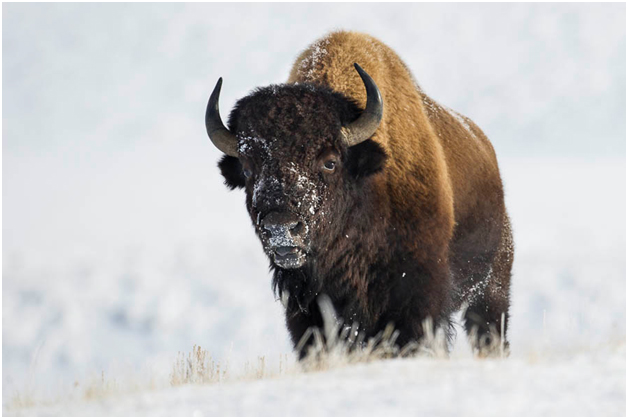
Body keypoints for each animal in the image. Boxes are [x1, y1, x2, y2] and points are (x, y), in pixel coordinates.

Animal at [207, 30, 516, 358]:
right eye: (247, 168)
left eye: (330, 162)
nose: (281, 228)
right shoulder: (307, 308)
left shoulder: (416, 299)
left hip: (491, 291)